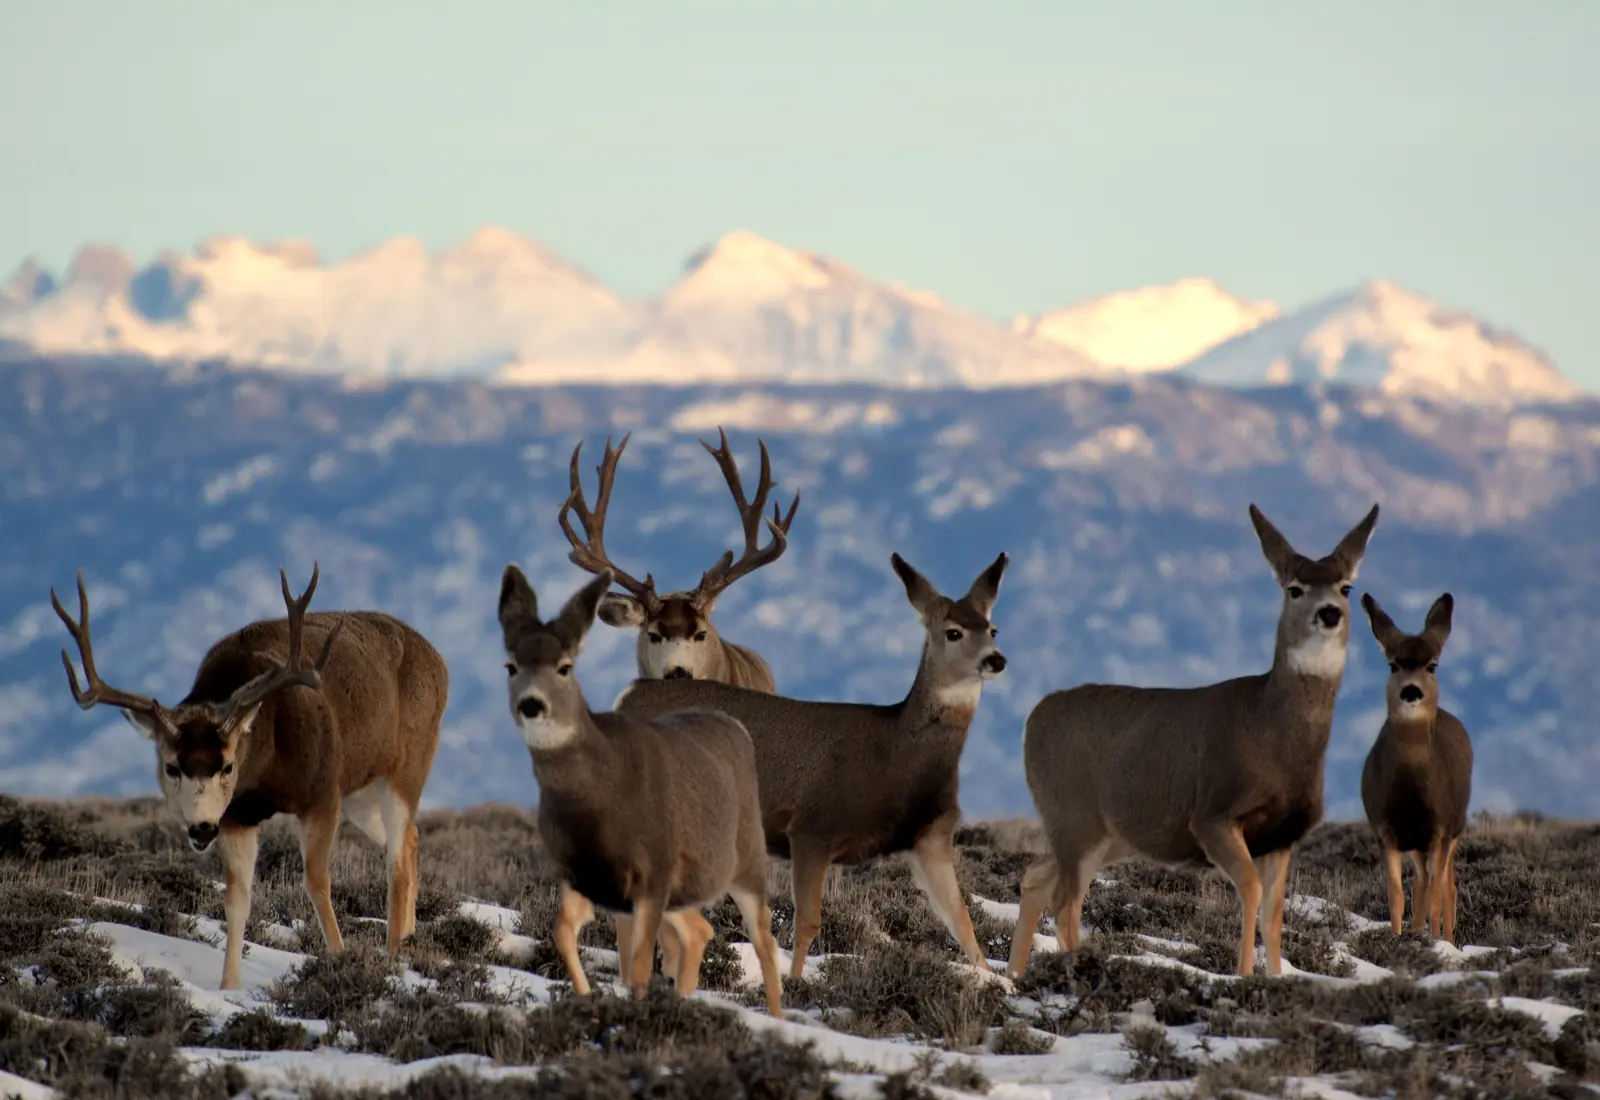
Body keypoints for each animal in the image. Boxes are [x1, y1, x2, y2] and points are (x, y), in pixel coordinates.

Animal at [49, 564, 448, 991]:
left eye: (227, 765)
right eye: (171, 766)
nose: (201, 828)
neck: (265, 765)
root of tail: (438, 660)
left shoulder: (322, 791)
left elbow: (316, 882)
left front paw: (341, 957)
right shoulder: (237, 815)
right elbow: (236, 898)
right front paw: (229, 986)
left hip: (407, 766)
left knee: (396, 857)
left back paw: (394, 952)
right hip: (360, 791)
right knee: (409, 839)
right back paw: (409, 939)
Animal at [613, 550, 1010, 980]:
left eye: (993, 629)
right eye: (953, 632)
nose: (996, 659)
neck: (894, 752)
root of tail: (631, 693)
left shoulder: (930, 837)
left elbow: (962, 920)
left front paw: (997, 980)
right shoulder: (812, 826)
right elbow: (807, 922)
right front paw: (796, 983)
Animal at [1007, 502, 1380, 981]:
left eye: (1346, 586)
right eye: (1294, 589)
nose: (1329, 613)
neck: (1273, 733)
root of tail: (1033, 717)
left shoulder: (1282, 834)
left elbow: (1274, 912)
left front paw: (1277, 979)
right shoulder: (1213, 814)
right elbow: (1250, 890)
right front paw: (1244, 976)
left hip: (1106, 833)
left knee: (1036, 877)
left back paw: (1013, 975)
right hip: (1074, 816)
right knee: (1065, 902)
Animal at [1359, 592, 1473, 945]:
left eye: (1431, 665)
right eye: (1393, 664)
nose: (1411, 690)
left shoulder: (1439, 828)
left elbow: (1437, 894)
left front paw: (1437, 942)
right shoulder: (1385, 829)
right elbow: (1396, 894)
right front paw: (1397, 937)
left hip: (1456, 828)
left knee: (1447, 886)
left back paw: (1445, 938)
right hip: (1417, 844)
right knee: (1421, 882)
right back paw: (1417, 929)